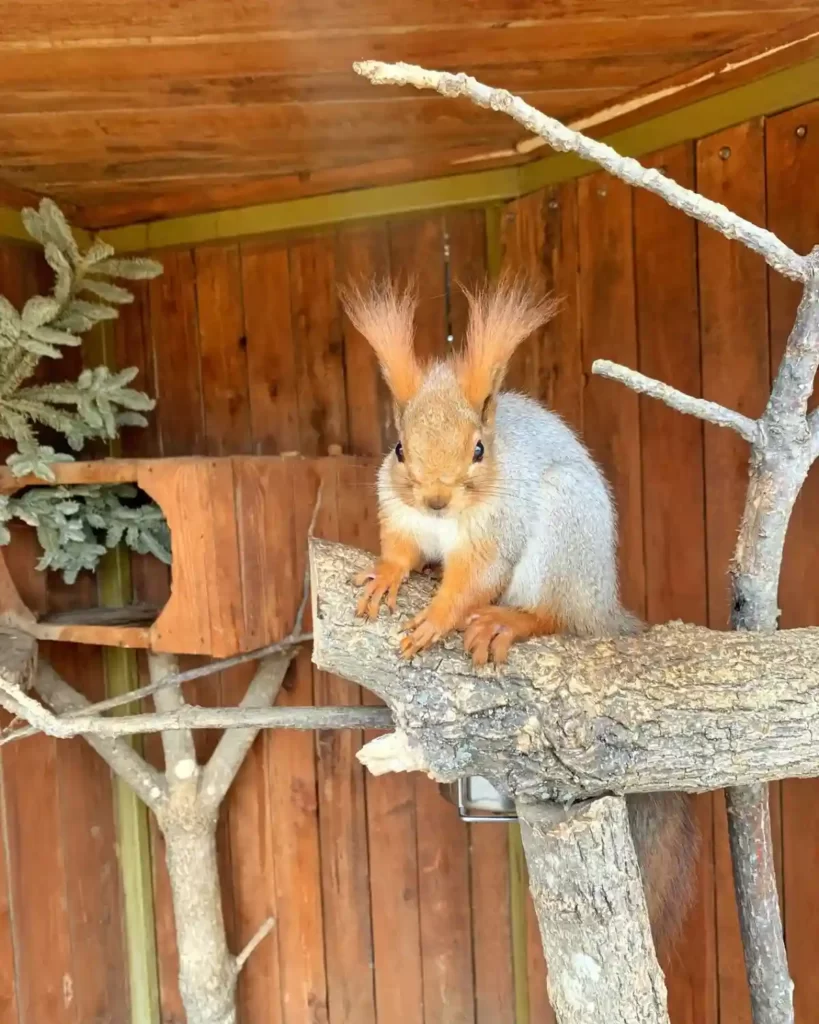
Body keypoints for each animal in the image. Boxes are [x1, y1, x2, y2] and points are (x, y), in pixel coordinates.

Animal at [340, 274, 699, 951]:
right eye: (398, 448)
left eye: (479, 449)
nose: (436, 498)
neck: (441, 521)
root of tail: (599, 600)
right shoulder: (398, 512)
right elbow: (399, 549)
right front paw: (389, 575)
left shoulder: (494, 533)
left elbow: (474, 580)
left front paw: (438, 619)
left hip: (560, 535)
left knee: (552, 614)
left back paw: (511, 620)